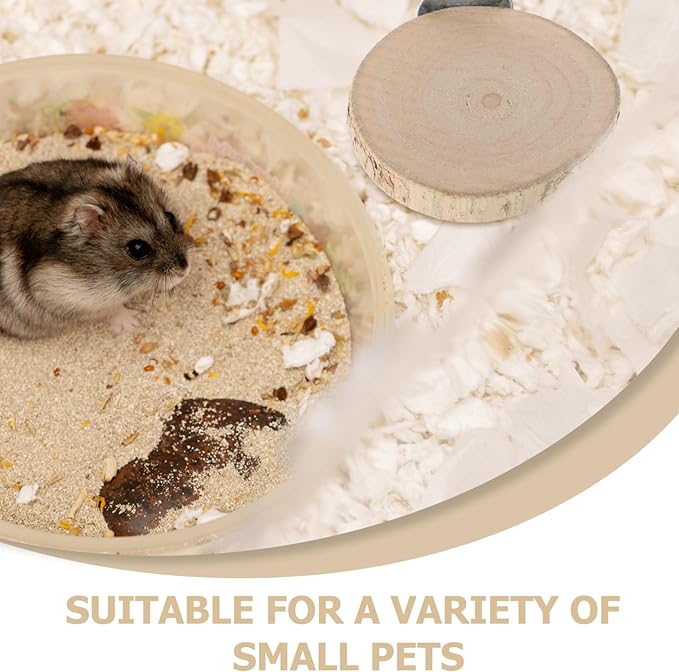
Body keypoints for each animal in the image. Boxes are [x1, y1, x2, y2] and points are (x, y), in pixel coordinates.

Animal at [0, 156, 192, 339]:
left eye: (170, 217)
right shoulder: (79, 302)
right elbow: (114, 309)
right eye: (138, 248)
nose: (185, 271)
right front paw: (133, 321)